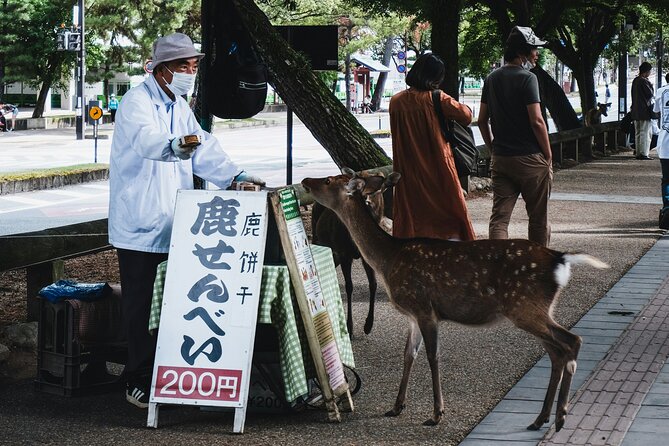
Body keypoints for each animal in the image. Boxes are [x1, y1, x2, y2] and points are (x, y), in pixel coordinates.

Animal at [310, 169, 394, 336]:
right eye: (360, 188)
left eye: (378, 189)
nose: (366, 201)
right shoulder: (344, 253)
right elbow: (349, 286)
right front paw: (349, 326)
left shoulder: (364, 256)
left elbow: (373, 284)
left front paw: (368, 325)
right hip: (319, 239)